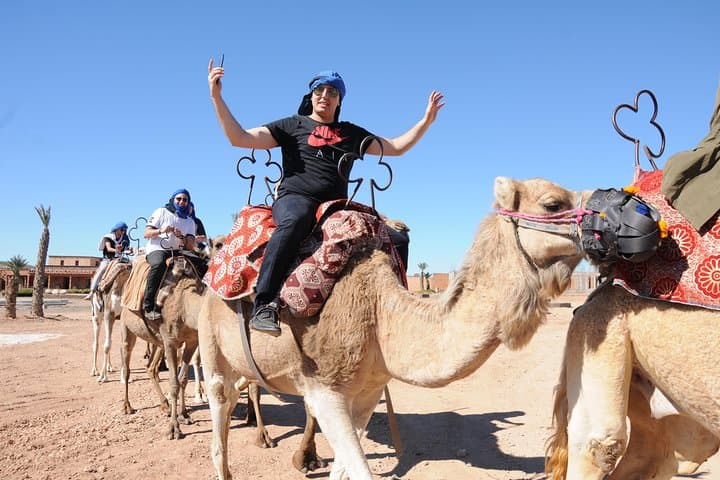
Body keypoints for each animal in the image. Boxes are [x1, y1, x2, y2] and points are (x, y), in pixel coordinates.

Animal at [198, 176, 591, 479]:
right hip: (211, 344)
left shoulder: (368, 391)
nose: (606, 209)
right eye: (553, 203)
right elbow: (359, 469)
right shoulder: (324, 389)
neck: (379, 313)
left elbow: (344, 469)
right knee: (219, 414)